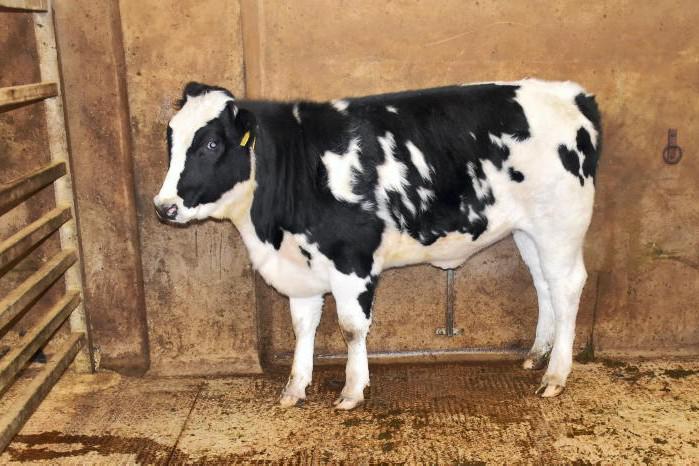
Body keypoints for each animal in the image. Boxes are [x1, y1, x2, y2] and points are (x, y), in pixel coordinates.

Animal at [154, 79, 601, 410]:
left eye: (211, 144)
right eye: (170, 138)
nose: (164, 207)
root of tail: (571, 93)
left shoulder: (353, 259)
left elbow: (351, 328)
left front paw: (352, 391)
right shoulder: (300, 267)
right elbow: (303, 327)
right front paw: (295, 388)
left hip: (561, 223)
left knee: (567, 287)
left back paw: (556, 374)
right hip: (529, 231)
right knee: (544, 285)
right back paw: (537, 355)